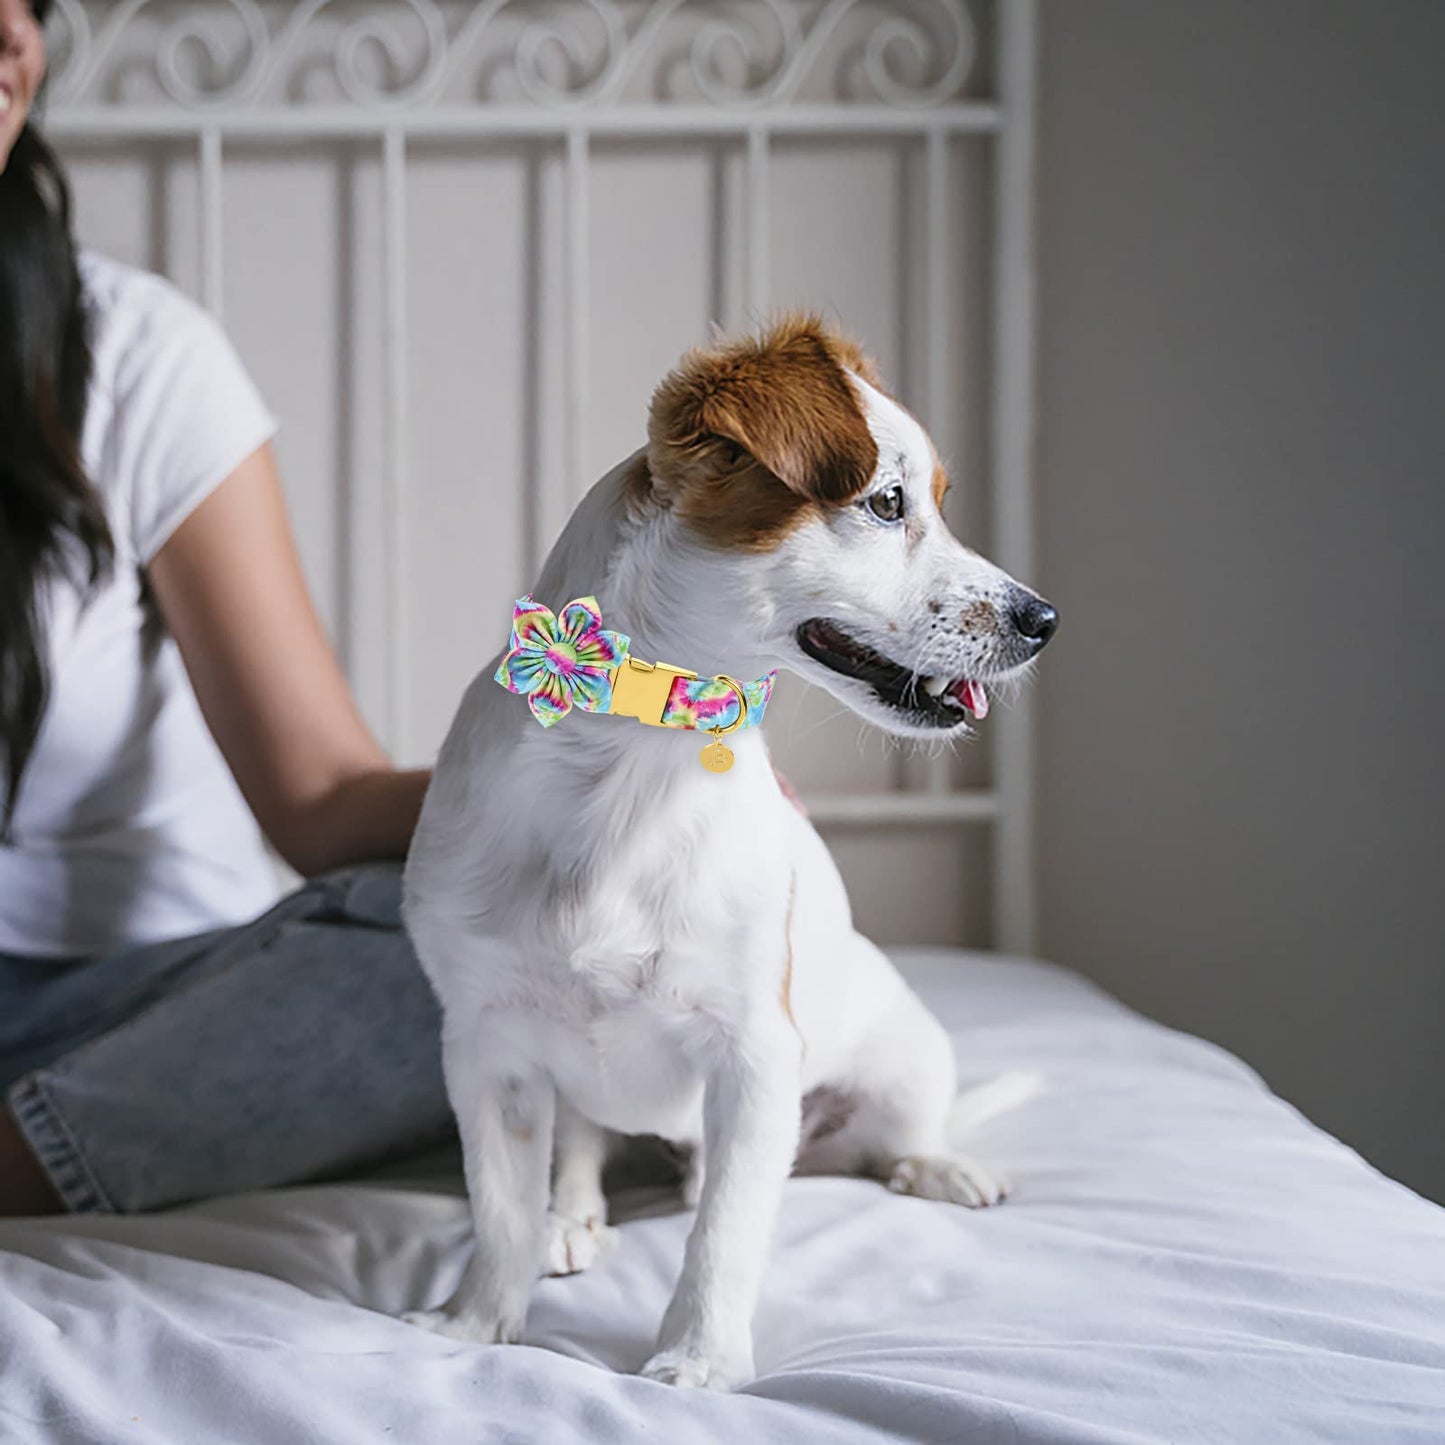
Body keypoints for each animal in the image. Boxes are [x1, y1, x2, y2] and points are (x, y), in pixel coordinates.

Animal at [407, 313, 1063, 1387]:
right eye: (886, 502)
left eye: (934, 500)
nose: (1043, 620)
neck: (633, 766)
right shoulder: (485, 1046)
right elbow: (499, 1207)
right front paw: (474, 1325)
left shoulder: (755, 1054)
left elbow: (721, 1231)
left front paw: (698, 1360)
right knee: (581, 1145)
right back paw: (572, 1216)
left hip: (902, 1058)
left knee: (882, 1140)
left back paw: (937, 1163)